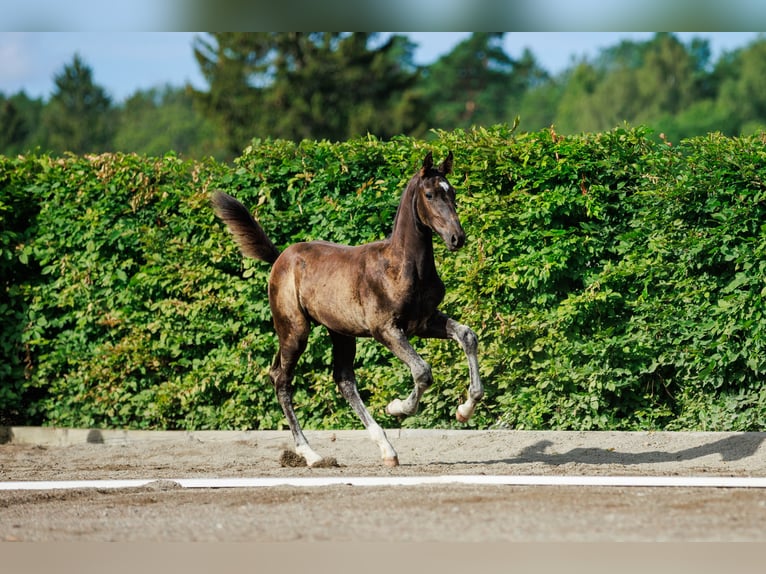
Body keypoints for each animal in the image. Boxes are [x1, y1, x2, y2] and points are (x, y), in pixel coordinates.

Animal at [213, 153, 484, 468]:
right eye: (429, 194)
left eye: (452, 192)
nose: (457, 238)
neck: (402, 266)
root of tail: (281, 258)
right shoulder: (385, 329)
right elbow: (422, 371)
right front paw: (397, 407)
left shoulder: (423, 322)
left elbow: (467, 336)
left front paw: (465, 409)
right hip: (294, 330)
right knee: (281, 379)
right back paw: (311, 454)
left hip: (341, 332)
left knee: (343, 380)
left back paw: (386, 449)